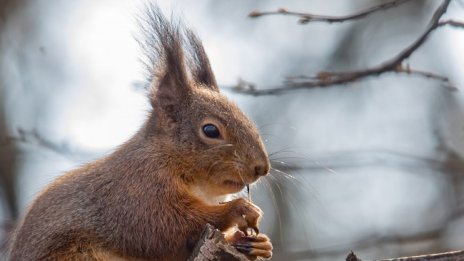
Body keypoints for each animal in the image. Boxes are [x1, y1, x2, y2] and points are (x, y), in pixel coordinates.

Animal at [8, 4, 272, 260]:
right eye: (210, 130)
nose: (261, 168)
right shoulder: (137, 192)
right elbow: (166, 226)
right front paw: (238, 209)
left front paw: (260, 245)